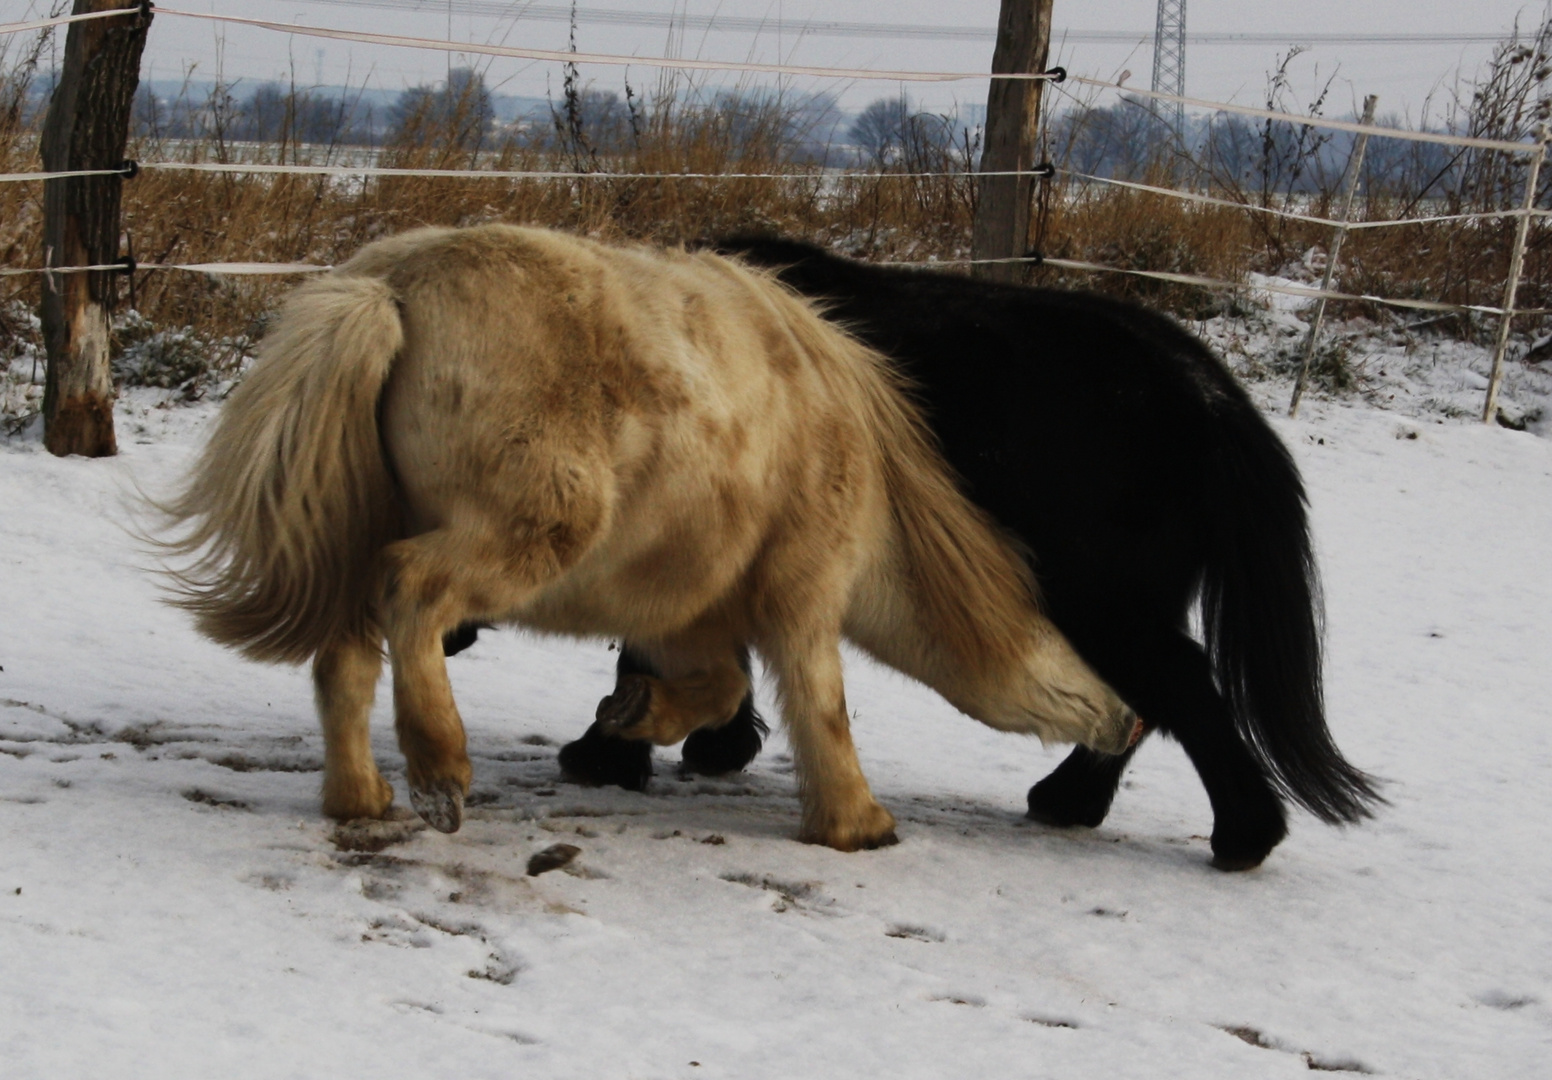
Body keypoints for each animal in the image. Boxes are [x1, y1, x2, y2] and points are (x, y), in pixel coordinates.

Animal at [157, 225, 1136, 850]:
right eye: (1066, 650)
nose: (1127, 717)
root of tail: (391, 287)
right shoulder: (801, 591)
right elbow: (819, 703)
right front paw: (859, 823)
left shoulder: (691, 607)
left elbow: (717, 689)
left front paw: (632, 717)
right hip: (523, 532)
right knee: (413, 594)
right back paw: (439, 770)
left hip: (368, 533)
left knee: (348, 655)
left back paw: (360, 797)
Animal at [453, 238, 1384, 868]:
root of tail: (1211, 395)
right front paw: (711, 743)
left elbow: (650, 651)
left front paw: (610, 752)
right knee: (1147, 703)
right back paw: (1078, 804)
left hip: (1107, 602)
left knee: (1177, 692)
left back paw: (1236, 835)